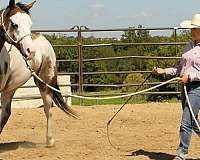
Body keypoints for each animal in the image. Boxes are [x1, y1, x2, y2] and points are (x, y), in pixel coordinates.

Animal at [0, 0, 78, 147]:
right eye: (14, 24)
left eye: (30, 24)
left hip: (45, 84)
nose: (30, 51)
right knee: (5, 113)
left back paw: (50, 140)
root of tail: (43, 38)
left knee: (48, 109)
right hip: (9, 89)